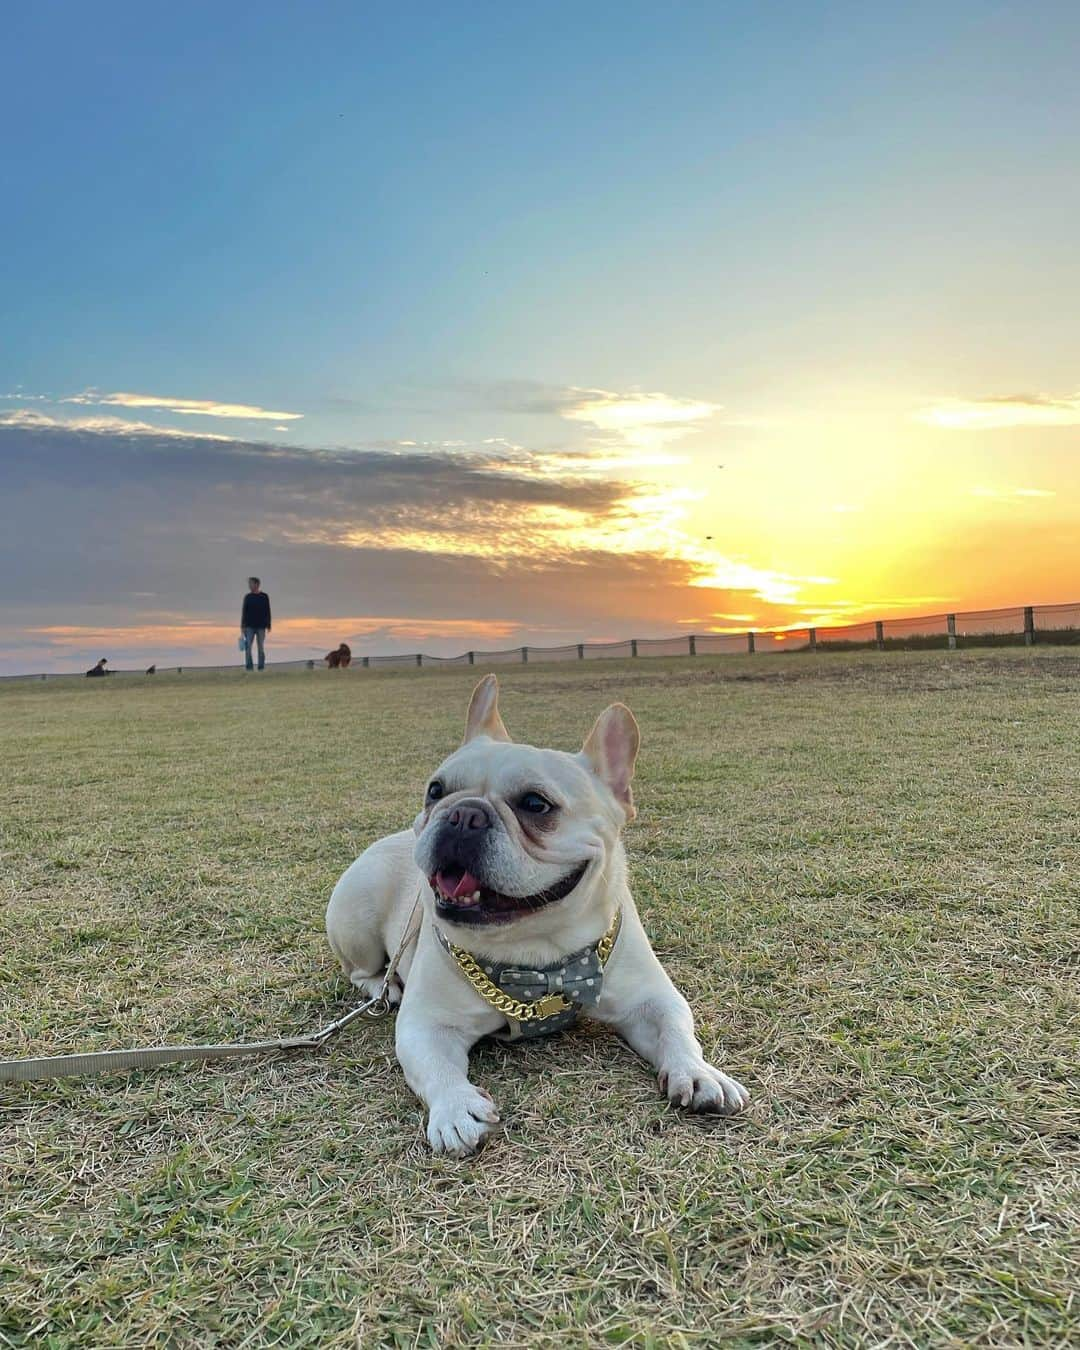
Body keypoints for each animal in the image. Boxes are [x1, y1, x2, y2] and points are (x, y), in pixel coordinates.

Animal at [325, 680, 745, 1155]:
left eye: (535, 804)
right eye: (435, 790)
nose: (463, 812)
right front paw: (456, 1109)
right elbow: (436, 1068)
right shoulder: (426, 1023)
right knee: (361, 970)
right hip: (357, 919)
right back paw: (383, 986)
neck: (537, 949)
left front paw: (699, 1073)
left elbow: (676, 1028)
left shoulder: (650, 1000)